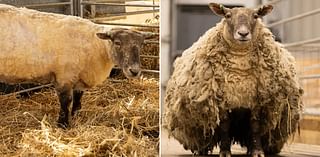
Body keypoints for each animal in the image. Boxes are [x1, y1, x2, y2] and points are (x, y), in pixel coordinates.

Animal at [0, 4, 149, 128]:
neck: (96, 45)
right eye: (117, 43)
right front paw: (63, 124)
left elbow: (78, 97)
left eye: (141, 45)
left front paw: (76, 115)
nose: (134, 71)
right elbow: (66, 102)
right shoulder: (64, 76)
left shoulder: (80, 76)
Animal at [165, 2, 302, 157]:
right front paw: (225, 151)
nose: (243, 33)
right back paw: (202, 150)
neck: (240, 70)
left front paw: (257, 151)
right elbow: (225, 126)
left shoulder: (257, 102)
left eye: (256, 16)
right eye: (228, 15)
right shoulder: (222, 102)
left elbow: (255, 127)